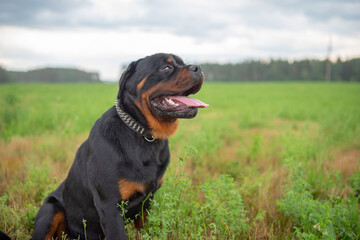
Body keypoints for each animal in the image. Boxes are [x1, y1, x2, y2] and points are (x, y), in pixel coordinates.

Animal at [32, 53, 210, 240]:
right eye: (165, 67)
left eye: (183, 63)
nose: (197, 68)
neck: (143, 135)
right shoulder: (110, 206)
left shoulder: (146, 202)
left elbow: (144, 228)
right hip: (51, 210)